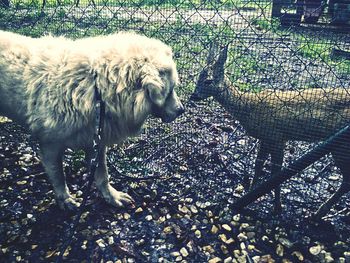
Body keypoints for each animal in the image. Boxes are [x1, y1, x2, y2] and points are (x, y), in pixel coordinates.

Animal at [0, 31, 185, 211]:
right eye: (170, 90)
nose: (181, 110)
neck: (94, 87)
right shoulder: (50, 145)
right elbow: (59, 176)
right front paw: (65, 199)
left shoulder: (96, 140)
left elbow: (103, 174)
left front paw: (112, 197)